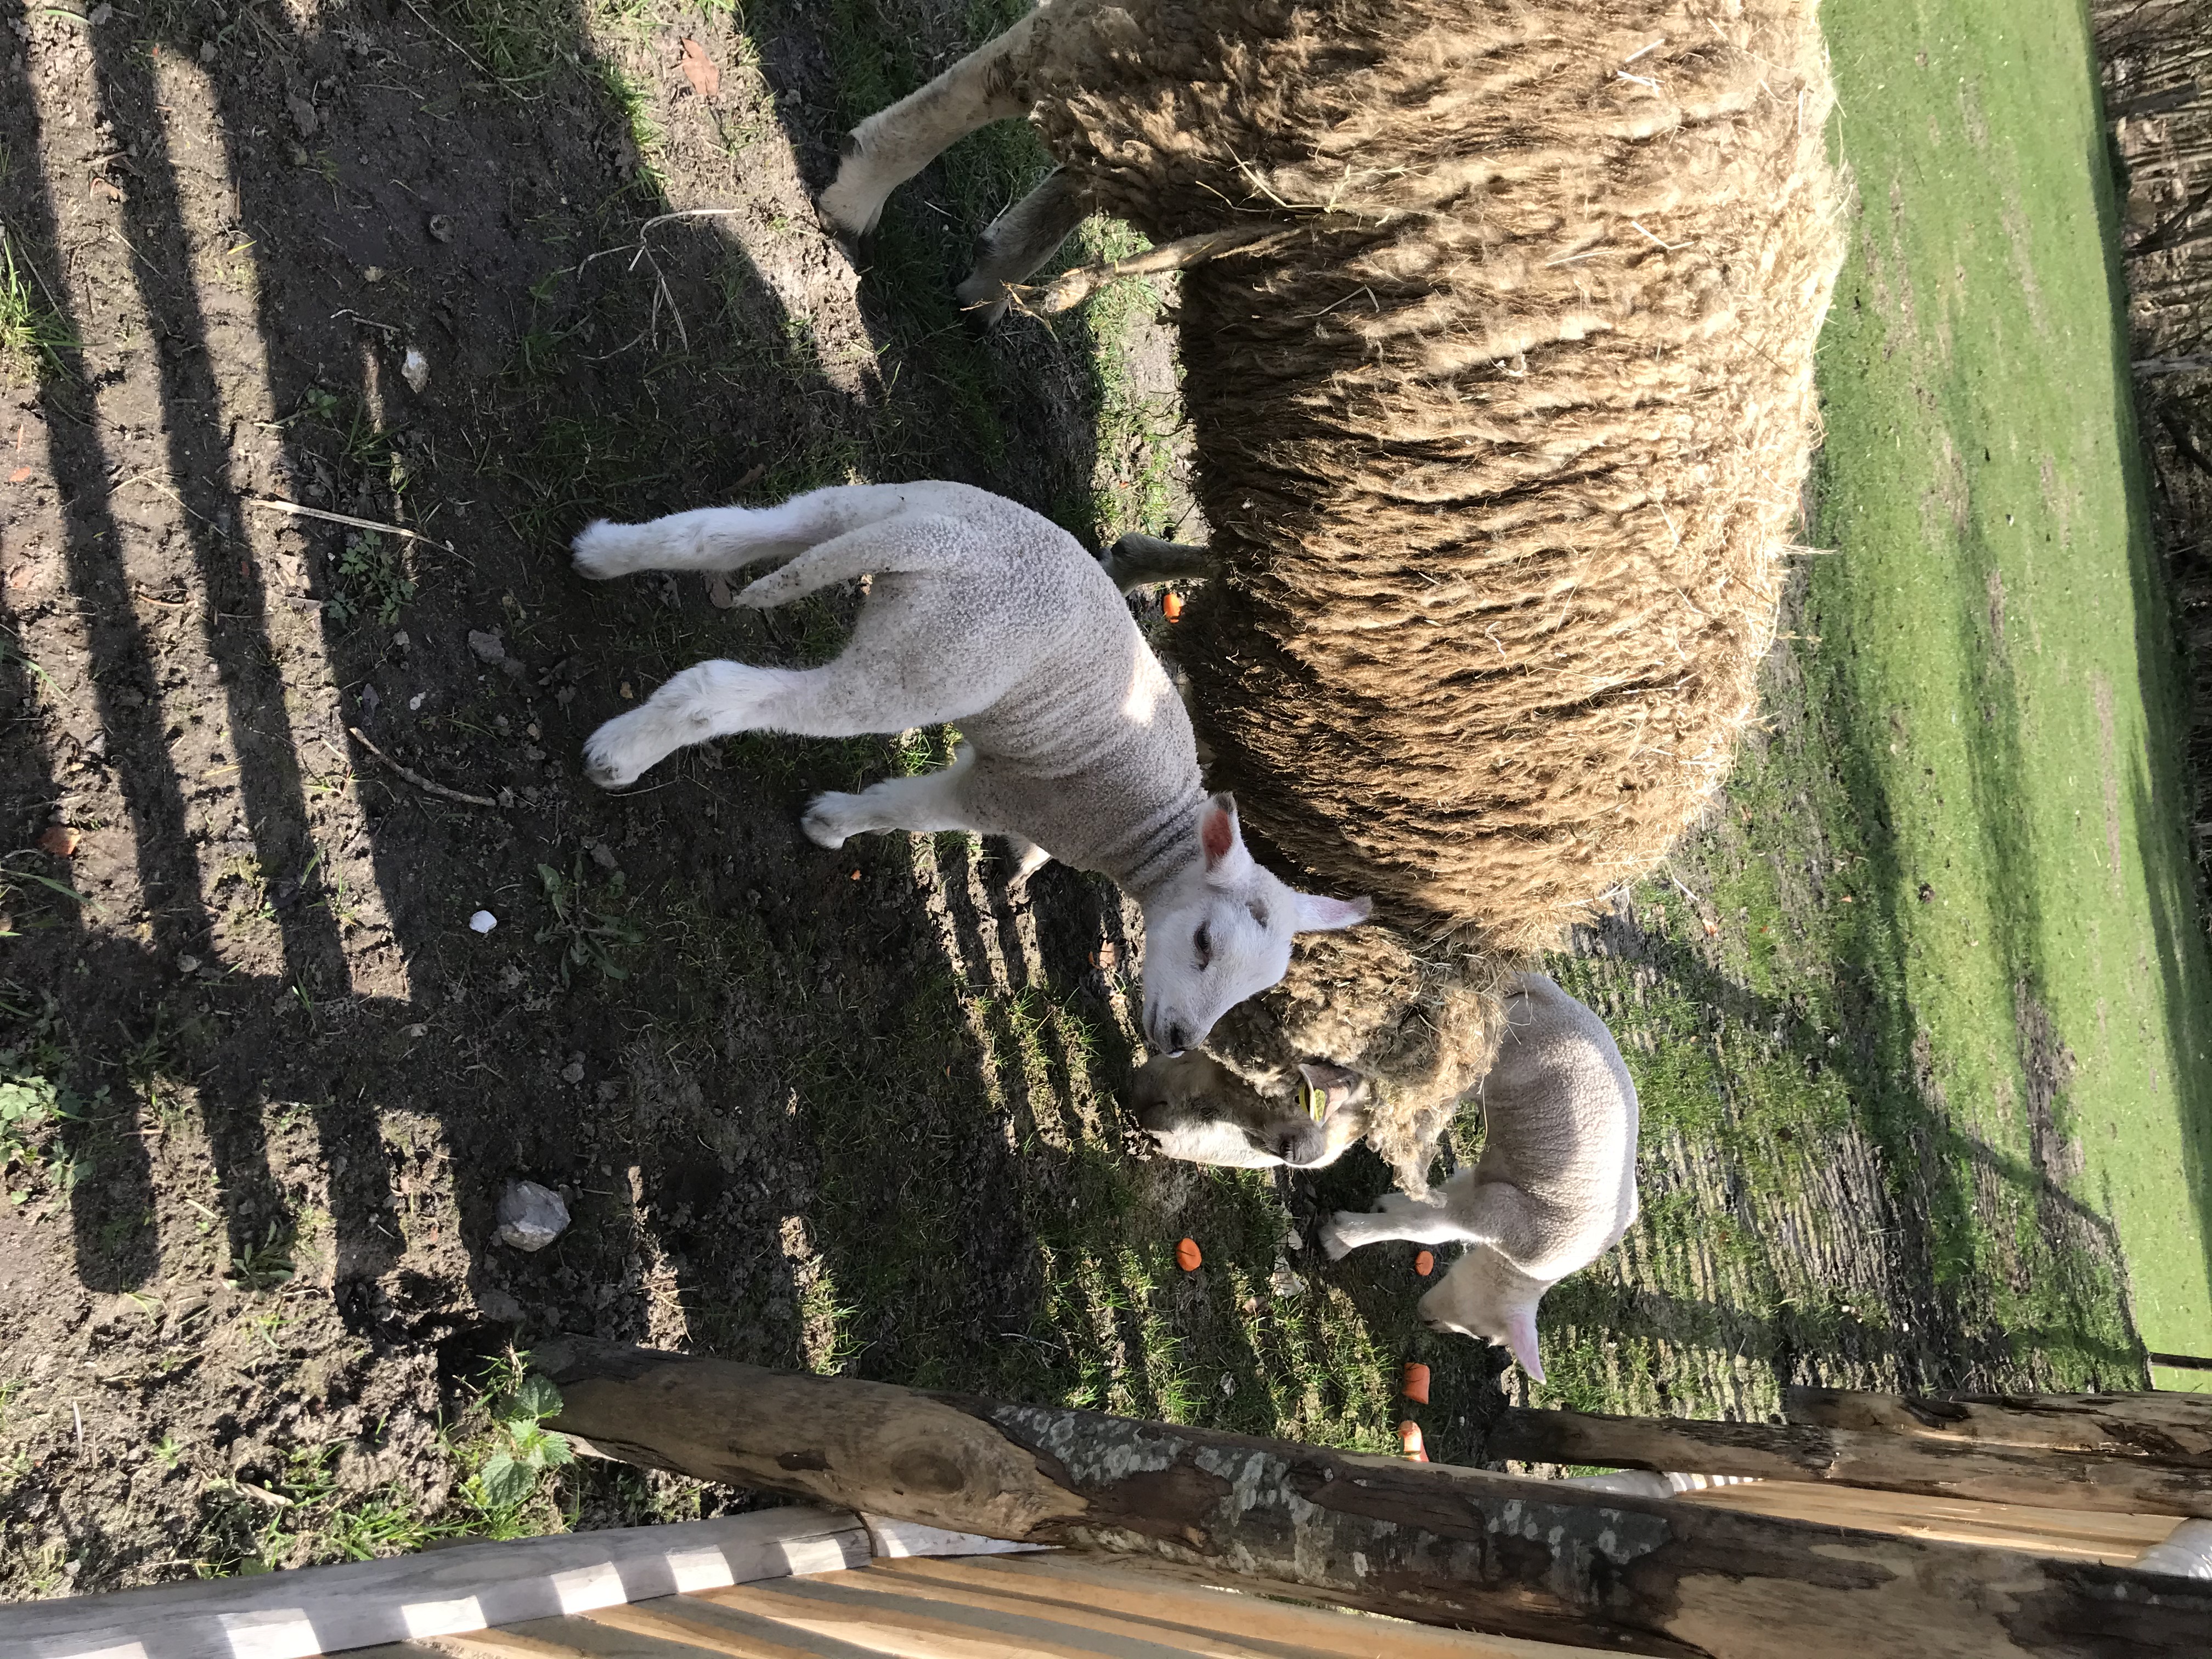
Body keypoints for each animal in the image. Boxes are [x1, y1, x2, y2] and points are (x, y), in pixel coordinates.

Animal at [571, 480, 1370, 1055]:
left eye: (1249, 994)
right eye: (1204, 944)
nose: (1179, 1043)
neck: (1152, 829)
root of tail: (946, 547)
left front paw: (1024, 864)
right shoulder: (1009, 791)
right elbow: (907, 809)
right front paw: (831, 824)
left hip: (874, 507)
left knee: (720, 532)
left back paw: (600, 551)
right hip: (927, 662)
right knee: (722, 687)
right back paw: (619, 754)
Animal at [819, 0, 1841, 1189]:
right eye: (1278, 1119)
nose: (1142, 1112)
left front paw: (1127, 576)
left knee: (1083, 147)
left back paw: (992, 279)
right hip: (1239, 59)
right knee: (1016, 74)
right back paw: (860, 193)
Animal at [1316, 972, 1640, 1376]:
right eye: (1483, 1335)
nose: (1425, 1320)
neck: (1521, 1270)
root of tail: (1551, 996)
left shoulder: (1492, 1185)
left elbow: (1442, 1199)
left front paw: (1389, 1206)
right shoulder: (1502, 1216)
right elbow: (1427, 1231)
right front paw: (1342, 1238)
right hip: (1490, 1060)